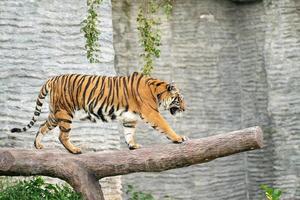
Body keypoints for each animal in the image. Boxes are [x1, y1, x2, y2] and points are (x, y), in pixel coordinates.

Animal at [10, 72, 186, 154]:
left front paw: (132, 145)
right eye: (179, 98)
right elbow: (165, 126)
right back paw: (74, 150)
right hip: (65, 113)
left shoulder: (129, 118)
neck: (157, 92)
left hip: (56, 113)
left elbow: (129, 132)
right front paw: (178, 138)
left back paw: (38, 145)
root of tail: (52, 78)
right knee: (62, 136)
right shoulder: (152, 113)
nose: (185, 109)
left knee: (42, 126)